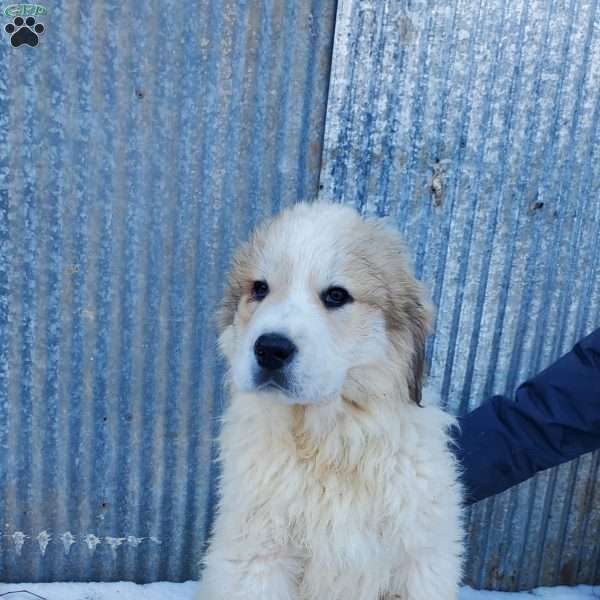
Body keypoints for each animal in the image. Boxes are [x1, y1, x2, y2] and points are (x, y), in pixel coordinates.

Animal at [199, 203, 462, 600]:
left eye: (337, 296)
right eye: (260, 289)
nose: (270, 349)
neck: (327, 444)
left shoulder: (419, 560)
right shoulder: (260, 558)